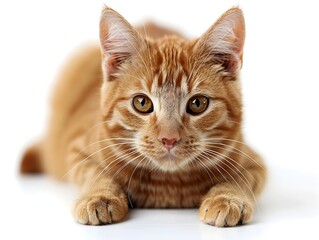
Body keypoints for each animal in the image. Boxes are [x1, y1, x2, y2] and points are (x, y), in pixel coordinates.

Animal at [20, 6, 268, 227]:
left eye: (198, 104)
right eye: (142, 103)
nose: (169, 139)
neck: (168, 186)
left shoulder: (254, 161)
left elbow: (240, 179)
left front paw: (227, 198)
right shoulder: (76, 147)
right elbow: (93, 173)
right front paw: (100, 196)